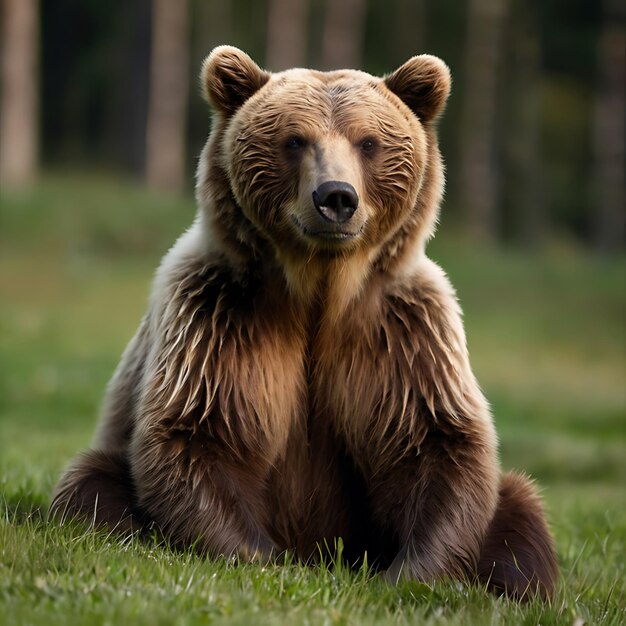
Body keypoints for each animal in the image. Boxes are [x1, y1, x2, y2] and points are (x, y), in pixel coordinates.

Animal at [50, 46, 556, 596]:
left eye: (369, 141)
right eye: (294, 139)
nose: (336, 197)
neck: (320, 293)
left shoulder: (404, 332)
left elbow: (434, 443)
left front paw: (413, 574)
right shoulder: (215, 316)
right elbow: (200, 431)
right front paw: (262, 559)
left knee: (522, 514)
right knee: (89, 485)